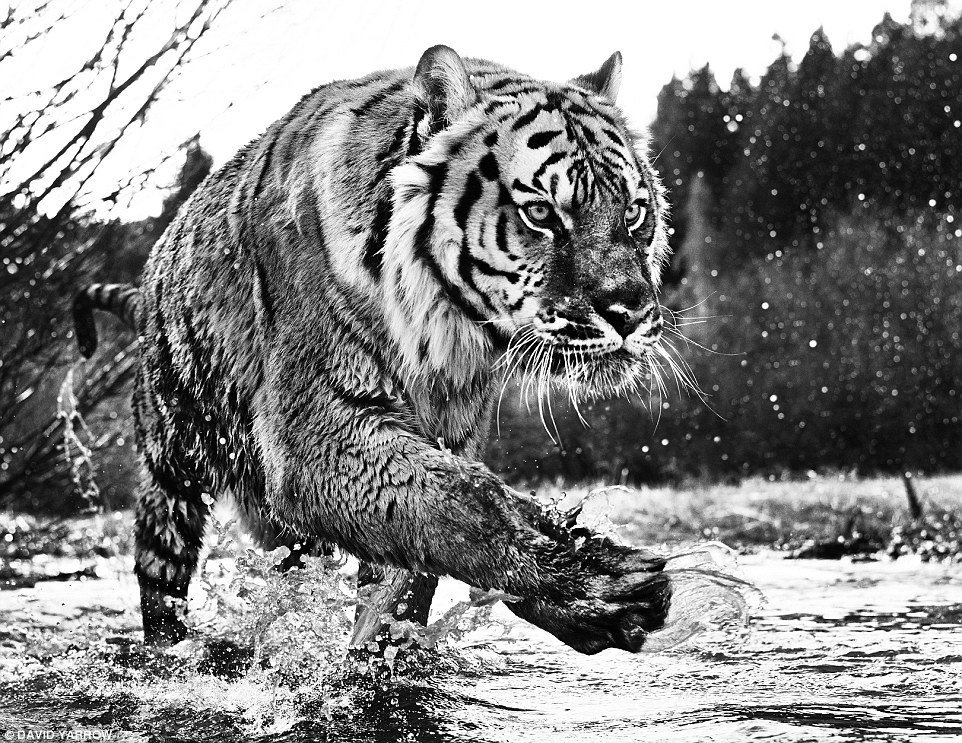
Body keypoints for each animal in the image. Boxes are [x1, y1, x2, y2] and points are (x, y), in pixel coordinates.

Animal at [73, 45, 676, 655]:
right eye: (542, 214)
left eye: (633, 213)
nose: (629, 309)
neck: (442, 332)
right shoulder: (318, 433)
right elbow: (463, 503)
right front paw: (596, 584)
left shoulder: (445, 428)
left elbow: (411, 570)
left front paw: (385, 655)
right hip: (173, 458)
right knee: (161, 571)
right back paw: (171, 647)